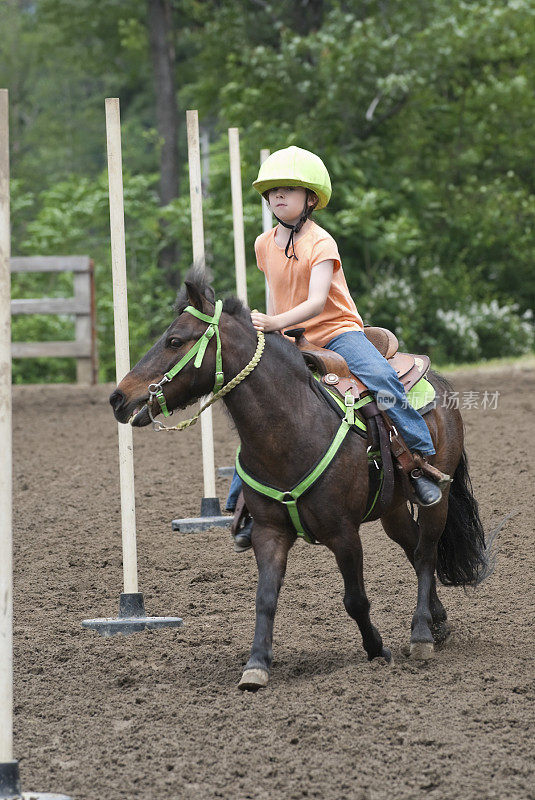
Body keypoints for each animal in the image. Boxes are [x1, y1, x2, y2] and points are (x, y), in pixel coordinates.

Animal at [111, 274, 492, 688]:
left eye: (175, 341)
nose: (118, 397)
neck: (292, 426)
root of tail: (436, 378)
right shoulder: (269, 532)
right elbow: (265, 598)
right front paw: (256, 664)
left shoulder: (343, 532)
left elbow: (355, 599)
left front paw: (377, 650)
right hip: (391, 508)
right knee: (413, 546)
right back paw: (438, 623)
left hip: (439, 496)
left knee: (425, 552)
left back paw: (421, 633)